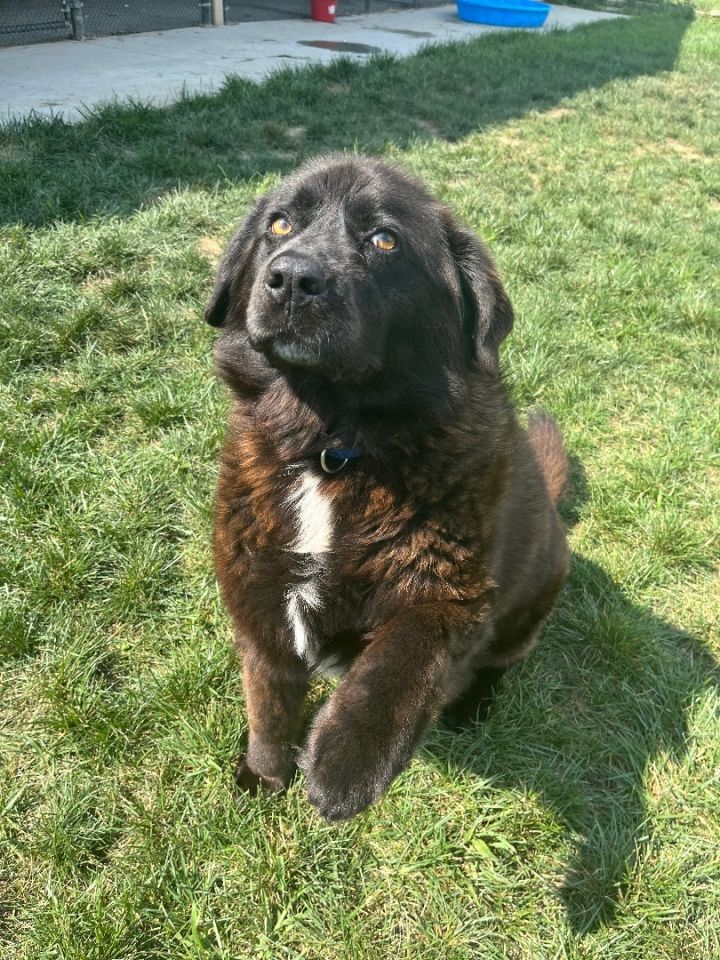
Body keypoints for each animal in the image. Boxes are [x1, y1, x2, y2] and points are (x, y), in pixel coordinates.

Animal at [204, 154, 568, 820]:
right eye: (279, 224)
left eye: (384, 240)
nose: (291, 278)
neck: (331, 447)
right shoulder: (258, 598)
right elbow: (267, 706)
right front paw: (264, 777)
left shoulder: (454, 594)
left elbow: (403, 655)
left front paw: (347, 756)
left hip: (531, 600)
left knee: (498, 663)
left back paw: (472, 706)